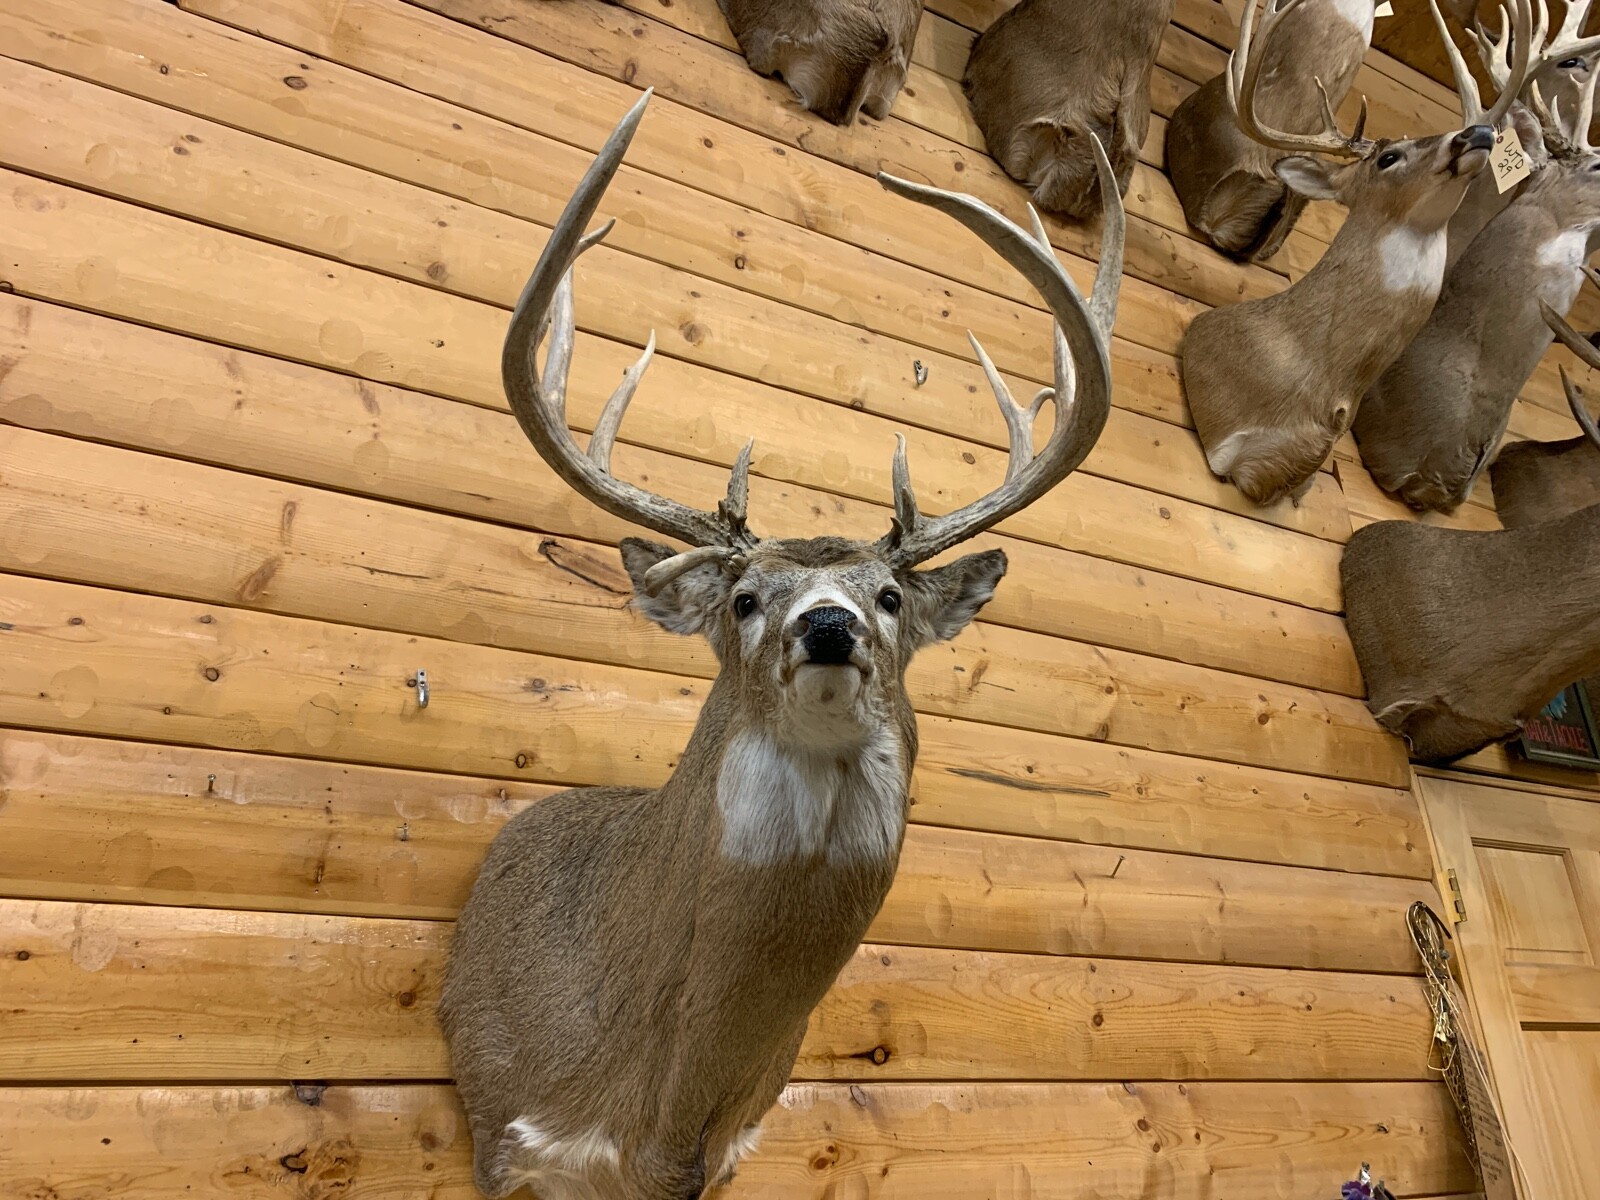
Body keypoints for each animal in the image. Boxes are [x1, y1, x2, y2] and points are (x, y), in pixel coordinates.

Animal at [439, 89, 1125, 1200]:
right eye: (746, 598)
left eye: (888, 595)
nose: (829, 625)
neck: (659, 1119)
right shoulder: (502, 1134)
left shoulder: (724, 1161)